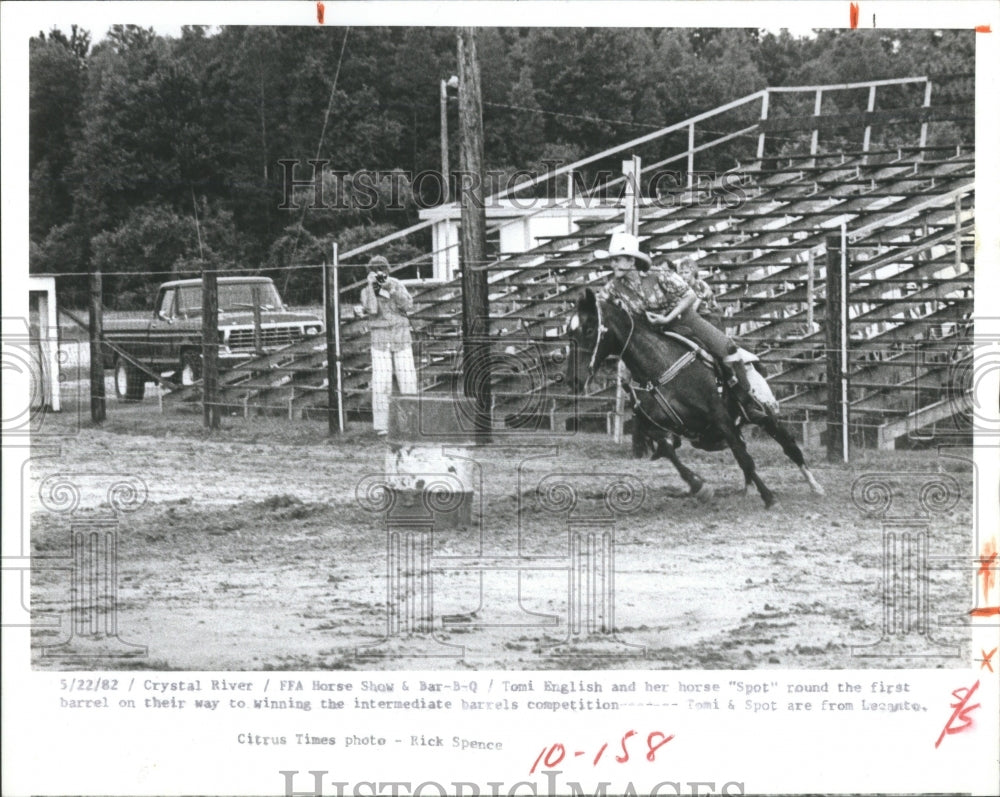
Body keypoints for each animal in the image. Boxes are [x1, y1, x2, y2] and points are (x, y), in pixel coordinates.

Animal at [568, 290, 824, 506]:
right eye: (569, 333)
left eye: (589, 329)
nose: (574, 379)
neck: (659, 367)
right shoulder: (652, 425)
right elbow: (669, 452)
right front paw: (699, 487)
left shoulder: (720, 417)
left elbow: (744, 458)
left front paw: (769, 498)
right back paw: (748, 488)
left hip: (766, 416)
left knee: (789, 446)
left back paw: (815, 486)